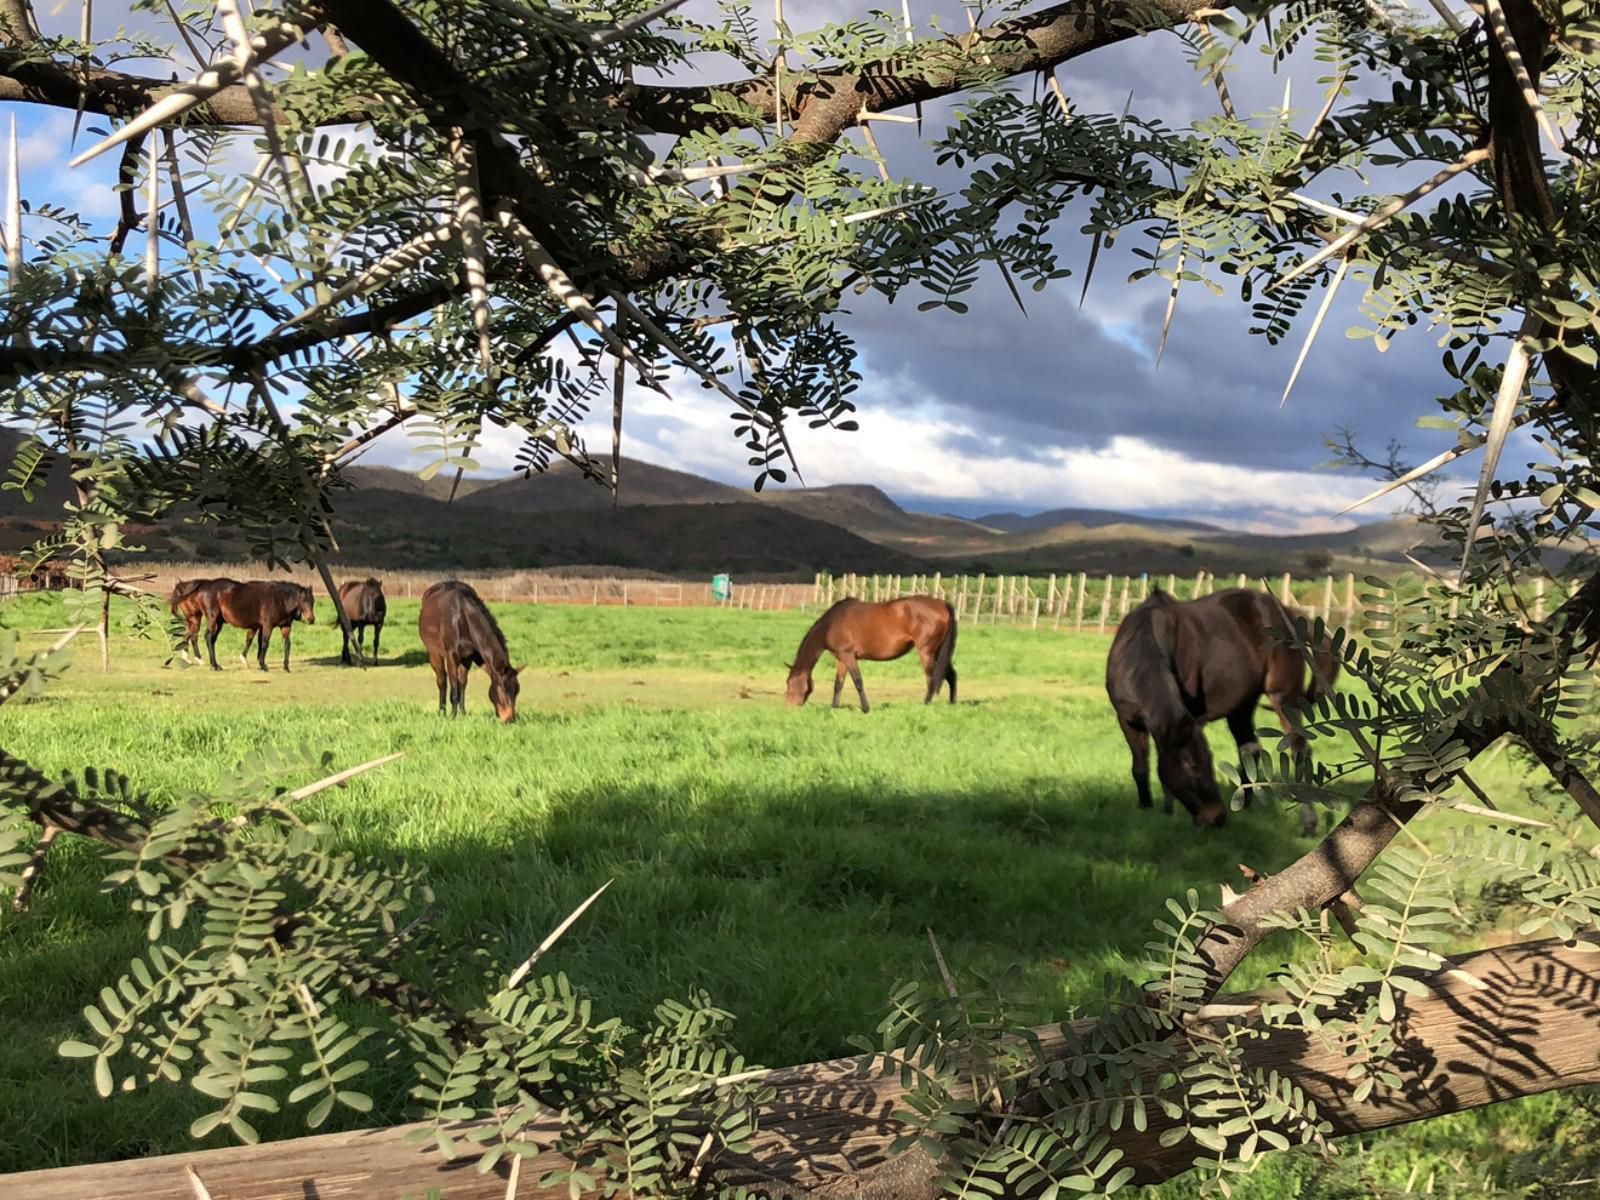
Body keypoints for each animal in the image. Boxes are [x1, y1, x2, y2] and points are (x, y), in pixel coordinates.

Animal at [419, 579, 524, 723]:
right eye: (503, 687)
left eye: (517, 690)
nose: (510, 719)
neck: (462, 618)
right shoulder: (452, 656)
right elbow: (454, 689)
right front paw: (453, 716)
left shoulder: (467, 658)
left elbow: (462, 684)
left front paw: (463, 713)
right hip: (434, 653)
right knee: (442, 680)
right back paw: (442, 712)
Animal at [784, 595, 953, 713]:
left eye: (789, 682)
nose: (790, 706)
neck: (830, 624)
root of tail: (942, 604)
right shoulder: (842, 659)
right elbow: (838, 684)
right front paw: (834, 708)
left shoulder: (849, 656)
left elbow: (858, 682)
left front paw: (865, 708)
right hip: (938, 652)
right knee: (950, 675)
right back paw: (952, 703)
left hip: (926, 652)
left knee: (932, 678)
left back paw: (926, 704)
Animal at [1100, 588, 1337, 832]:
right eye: (1192, 767)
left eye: (1209, 762)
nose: (1217, 817)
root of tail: (1286, 612)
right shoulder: (1129, 722)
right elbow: (1140, 768)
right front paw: (1148, 809)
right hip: (1242, 706)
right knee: (1250, 749)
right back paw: (1244, 805)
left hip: (1284, 696)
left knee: (1299, 749)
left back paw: (1308, 822)